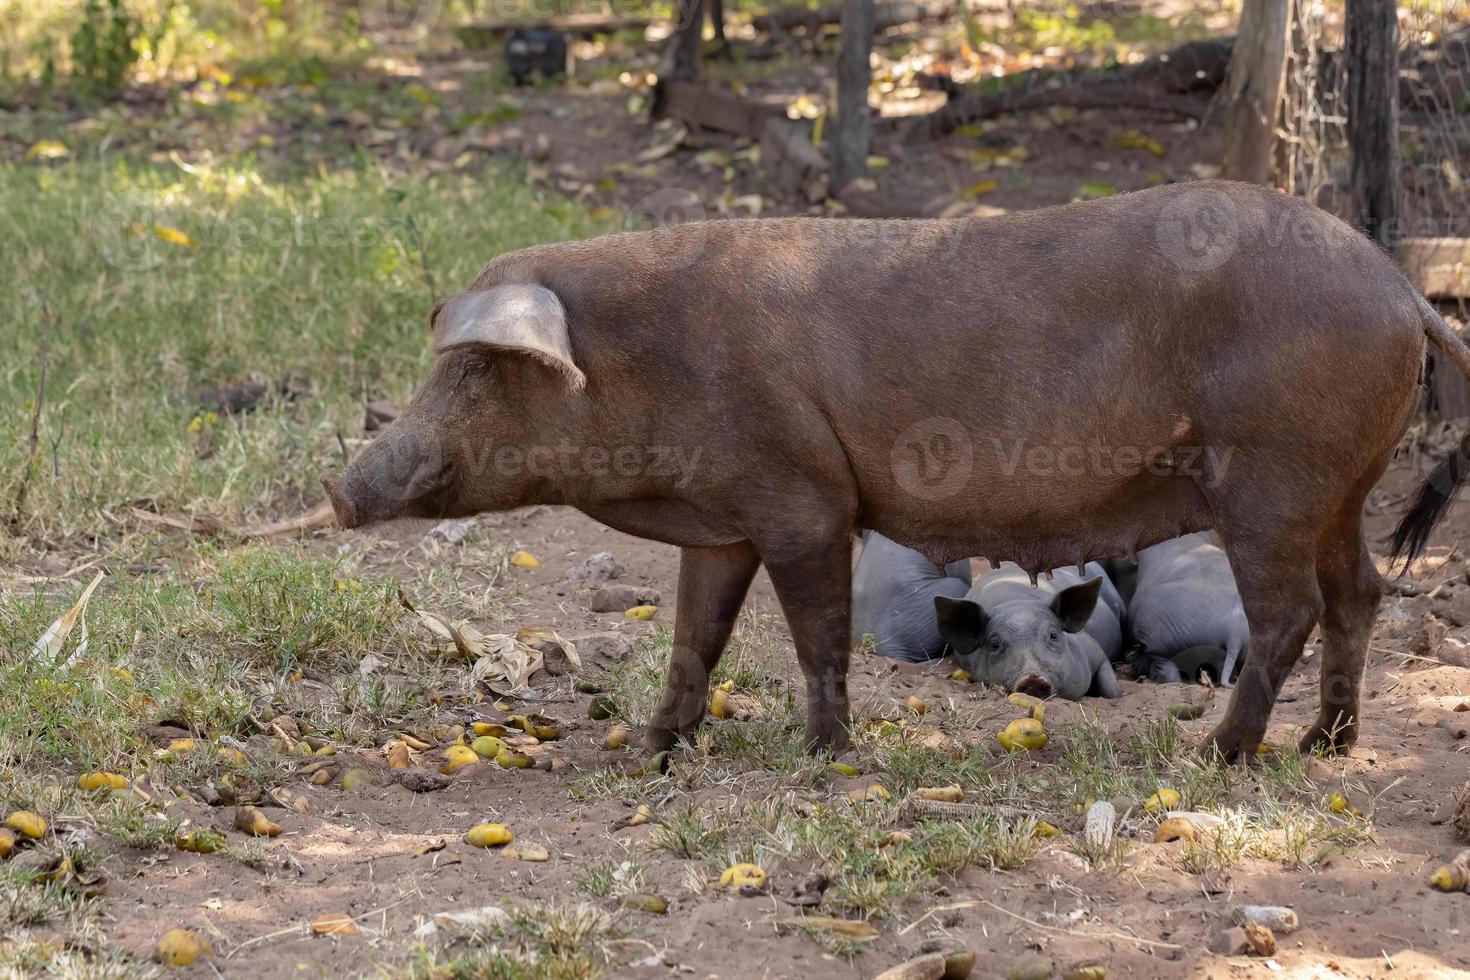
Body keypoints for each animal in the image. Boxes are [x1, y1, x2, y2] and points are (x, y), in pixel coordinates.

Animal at [321, 185, 1470, 764]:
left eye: (478, 366)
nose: (339, 488)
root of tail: (1402, 292)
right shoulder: (725, 518)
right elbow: (696, 633)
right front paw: (648, 747)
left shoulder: (804, 497)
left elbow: (815, 633)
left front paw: (824, 757)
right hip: (1341, 482)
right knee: (1360, 591)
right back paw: (1326, 744)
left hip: (1272, 471)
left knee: (1289, 610)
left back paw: (1214, 754)